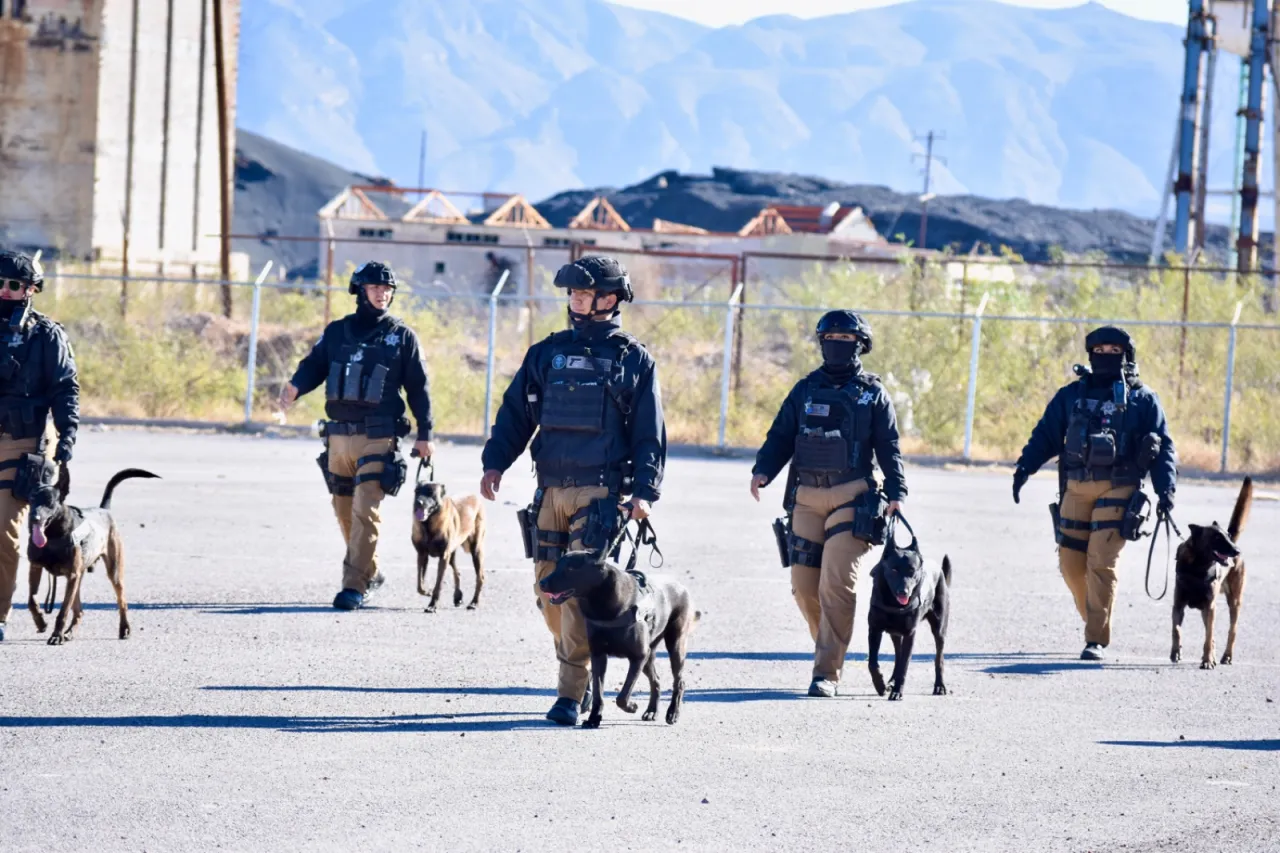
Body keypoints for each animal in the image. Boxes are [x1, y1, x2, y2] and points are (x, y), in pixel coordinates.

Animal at [25, 468, 160, 640]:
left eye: (50, 501)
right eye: (32, 499)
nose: (33, 518)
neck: (52, 535)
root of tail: (104, 509)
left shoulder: (72, 575)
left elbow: (63, 610)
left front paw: (56, 635)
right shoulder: (35, 568)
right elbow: (31, 600)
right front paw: (40, 622)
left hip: (113, 573)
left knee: (122, 601)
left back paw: (124, 628)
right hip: (78, 577)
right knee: (79, 611)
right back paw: (69, 632)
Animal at [540, 550, 701, 722]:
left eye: (570, 568)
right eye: (557, 566)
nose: (542, 583)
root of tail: (680, 585)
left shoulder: (638, 657)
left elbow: (622, 696)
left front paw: (631, 707)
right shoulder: (599, 656)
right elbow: (598, 692)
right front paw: (594, 718)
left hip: (674, 645)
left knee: (679, 681)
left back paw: (673, 712)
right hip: (649, 657)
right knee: (656, 681)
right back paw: (652, 711)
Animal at [870, 550, 952, 696]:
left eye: (912, 571)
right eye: (894, 570)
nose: (904, 592)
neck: (893, 603)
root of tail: (939, 570)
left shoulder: (910, 634)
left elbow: (905, 664)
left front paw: (897, 691)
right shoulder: (874, 629)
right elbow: (872, 663)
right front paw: (880, 685)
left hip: (939, 630)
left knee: (939, 658)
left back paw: (939, 686)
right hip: (895, 634)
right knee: (898, 655)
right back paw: (892, 680)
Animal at [1172, 473, 1249, 666]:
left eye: (1226, 536)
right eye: (1216, 537)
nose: (1236, 550)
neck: (1198, 568)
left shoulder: (1210, 607)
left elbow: (1209, 636)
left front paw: (1207, 660)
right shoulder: (1178, 606)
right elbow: (1176, 630)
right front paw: (1176, 652)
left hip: (1233, 603)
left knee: (1231, 630)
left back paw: (1225, 656)